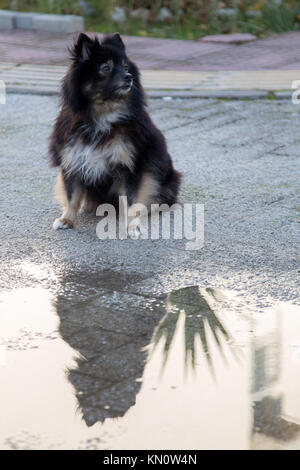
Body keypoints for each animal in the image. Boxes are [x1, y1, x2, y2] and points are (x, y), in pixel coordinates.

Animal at [49, 33, 180, 237]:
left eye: (125, 67)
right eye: (106, 68)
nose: (129, 77)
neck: (101, 117)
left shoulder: (129, 166)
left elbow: (132, 201)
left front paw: (133, 227)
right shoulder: (73, 161)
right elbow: (72, 197)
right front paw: (67, 219)